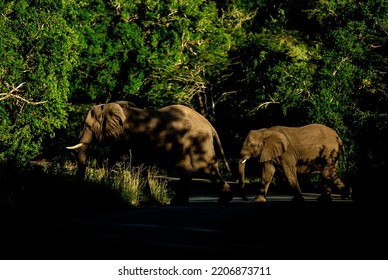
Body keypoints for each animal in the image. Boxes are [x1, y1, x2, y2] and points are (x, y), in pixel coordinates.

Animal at [66, 100, 233, 203]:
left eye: (88, 126)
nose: (78, 191)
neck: (111, 106)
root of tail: (210, 126)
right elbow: (122, 161)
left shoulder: (130, 136)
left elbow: (133, 164)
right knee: (186, 171)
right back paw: (178, 202)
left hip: (199, 142)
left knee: (206, 169)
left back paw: (224, 200)